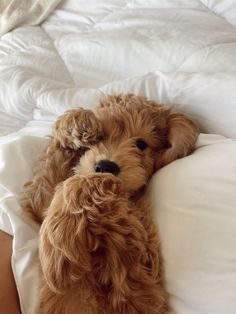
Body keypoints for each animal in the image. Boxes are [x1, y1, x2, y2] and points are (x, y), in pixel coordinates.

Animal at [20, 94, 198, 312]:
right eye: (101, 137)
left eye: (141, 144)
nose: (106, 165)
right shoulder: (40, 201)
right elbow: (47, 187)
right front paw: (77, 123)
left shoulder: (143, 278)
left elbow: (84, 182)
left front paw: (57, 264)